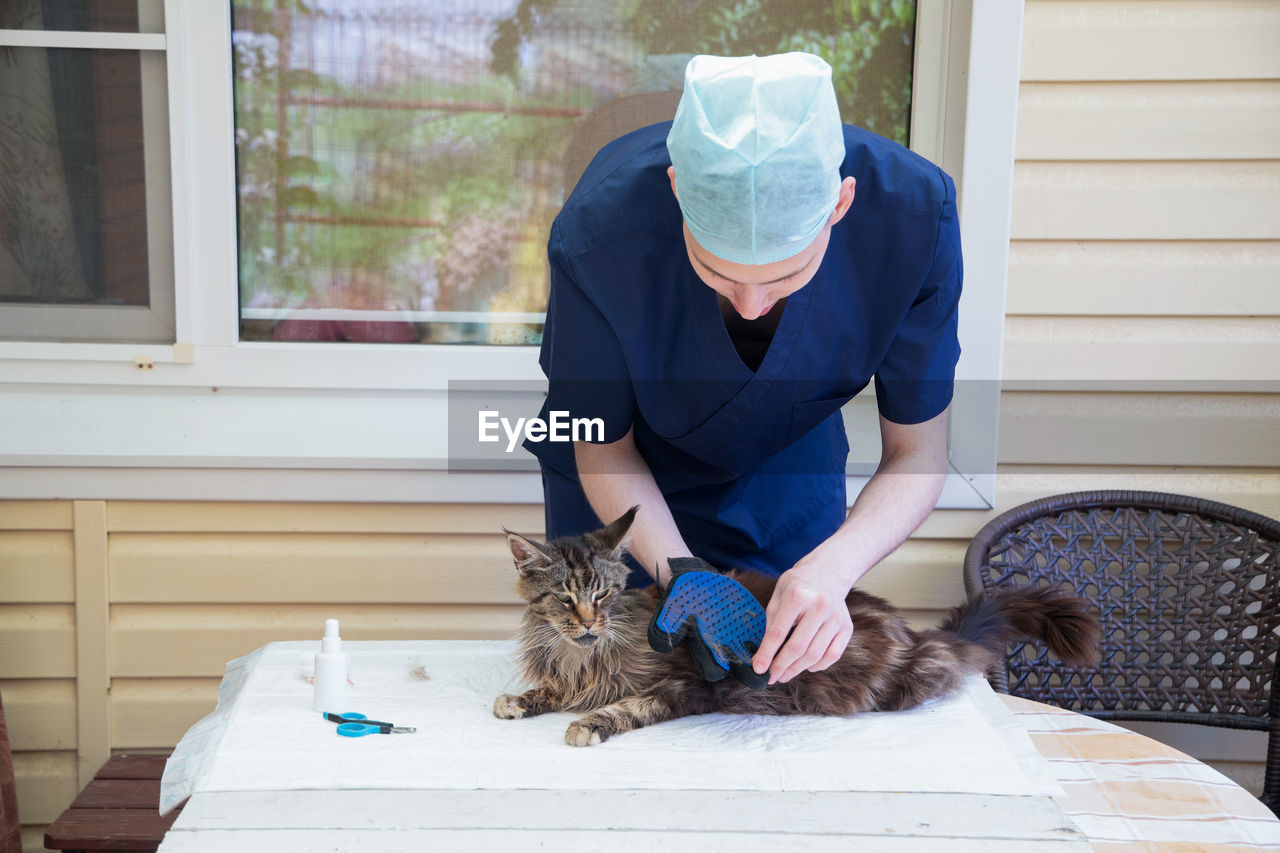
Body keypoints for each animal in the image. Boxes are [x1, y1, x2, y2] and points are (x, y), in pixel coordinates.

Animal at [491, 504, 1100, 742]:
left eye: (604, 595)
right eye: (565, 600)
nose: (590, 623)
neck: (585, 654)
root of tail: (922, 636)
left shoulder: (683, 686)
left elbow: (627, 706)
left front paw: (589, 724)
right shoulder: (571, 670)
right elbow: (550, 690)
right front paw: (518, 700)